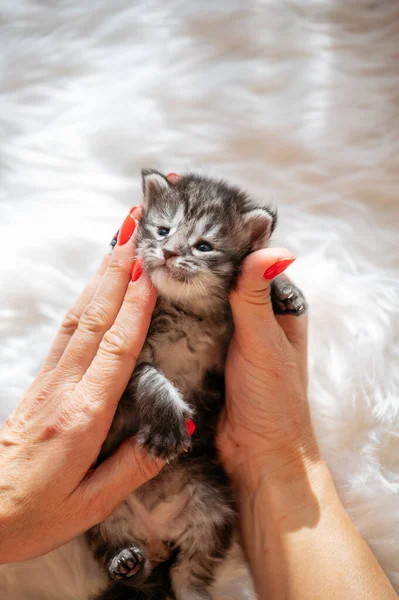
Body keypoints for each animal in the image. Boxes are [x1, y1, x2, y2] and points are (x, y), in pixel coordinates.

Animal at [87, 169, 306, 600]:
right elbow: (150, 377)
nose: (169, 252)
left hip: (212, 503)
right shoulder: (126, 354)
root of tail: (157, 534)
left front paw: (284, 289)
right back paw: (124, 560)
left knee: (189, 570)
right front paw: (167, 427)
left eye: (203, 246)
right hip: (103, 512)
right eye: (163, 230)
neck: (186, 309)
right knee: (127, 560)